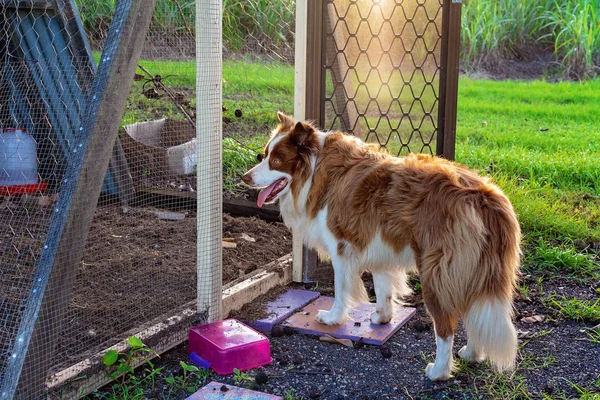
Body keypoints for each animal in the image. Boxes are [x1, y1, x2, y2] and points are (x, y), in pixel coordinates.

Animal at [243, 112, 520, 382]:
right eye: (264, 154)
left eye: (276, 161)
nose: (245, 177)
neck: (314, 169)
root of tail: (482, 195)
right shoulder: (379, 247)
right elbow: (382, 285)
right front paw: (382, 317)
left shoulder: (342, 247)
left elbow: (341, 290)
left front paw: (333, 318)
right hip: (476, 270)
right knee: (475, 312)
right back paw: (472, 354)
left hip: (437, 273)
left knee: (445, 326)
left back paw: (439, 371)